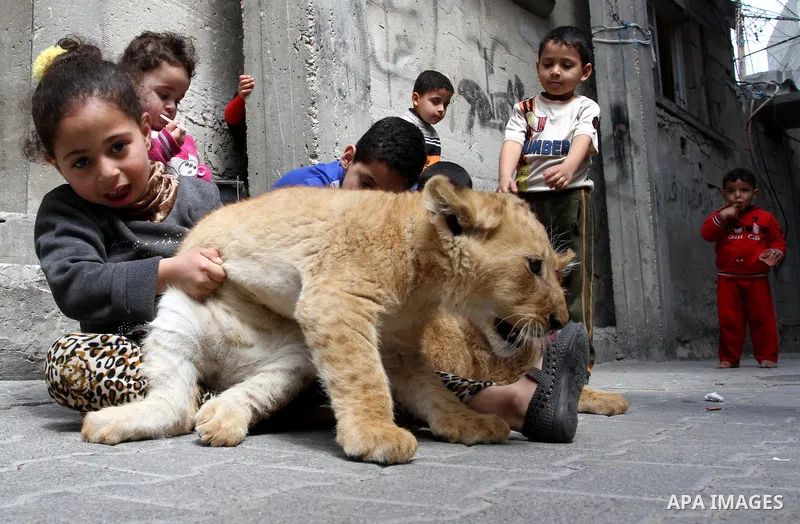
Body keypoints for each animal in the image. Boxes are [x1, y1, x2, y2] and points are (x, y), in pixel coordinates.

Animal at [81, 177, 575, 464]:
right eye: (534, 265)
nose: (560, 320)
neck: (424, 279)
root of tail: (223, 368)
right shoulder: (335, 302)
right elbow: (364, 377)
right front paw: (376, 435)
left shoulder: (397, 344)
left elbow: (433, 389)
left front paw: (467, 424)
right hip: (179, 308)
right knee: (175, 405)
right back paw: (111, 422)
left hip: (295, 361)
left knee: (236, 397)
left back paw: (224, 416)